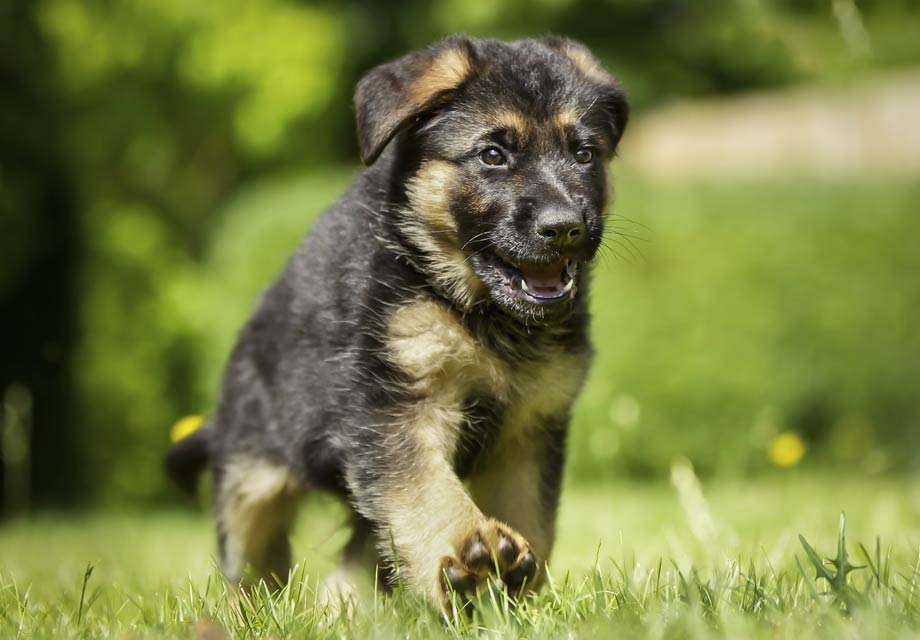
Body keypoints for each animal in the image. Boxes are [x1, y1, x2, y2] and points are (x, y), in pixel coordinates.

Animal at [165, 33, 624, 608]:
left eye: (583, 154)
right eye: (493, 156)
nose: (563, 228)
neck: (475, 310)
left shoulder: (530, 428)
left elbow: (531, 515)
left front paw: (517, 587)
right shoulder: (396, 405)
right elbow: (424, 485)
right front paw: (467, 550)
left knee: (363, 550)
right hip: (251, 477)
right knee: (253, 559)